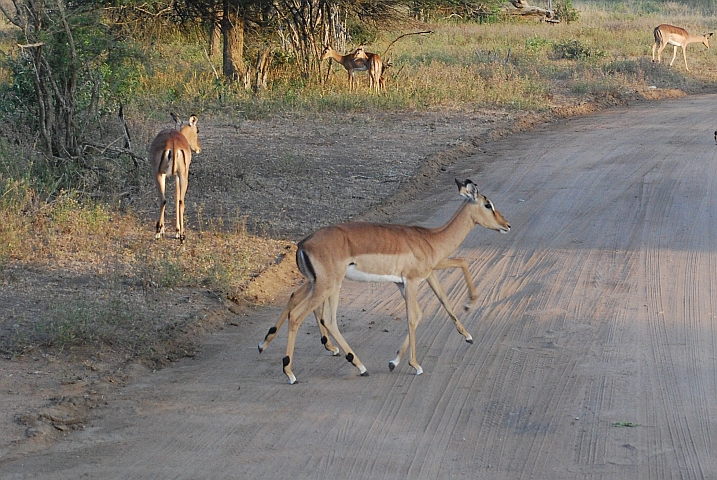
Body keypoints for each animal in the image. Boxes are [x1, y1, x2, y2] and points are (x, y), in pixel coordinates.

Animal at [149, 114, 201, 243]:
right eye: (197, 130)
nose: (199, 148)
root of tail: (173, 144)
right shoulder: (176, 176)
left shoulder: (170, 175)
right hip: (180, 175)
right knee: (179, 201)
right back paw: (180, 235)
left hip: (161, 174)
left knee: (165, 200)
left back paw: (160, 232)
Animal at [259, 179, 510, 384]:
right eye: (488, 204)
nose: (507, 225)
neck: (430, 239)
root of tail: (303, 244)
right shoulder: (413, 281)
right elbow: (414, 316)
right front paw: (415, 365)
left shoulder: (408, 281)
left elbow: (436, 304)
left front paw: (395, 361)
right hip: (327, 286)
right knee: (303, 315)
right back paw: (292, 372)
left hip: (323, 285)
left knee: (314, 311)